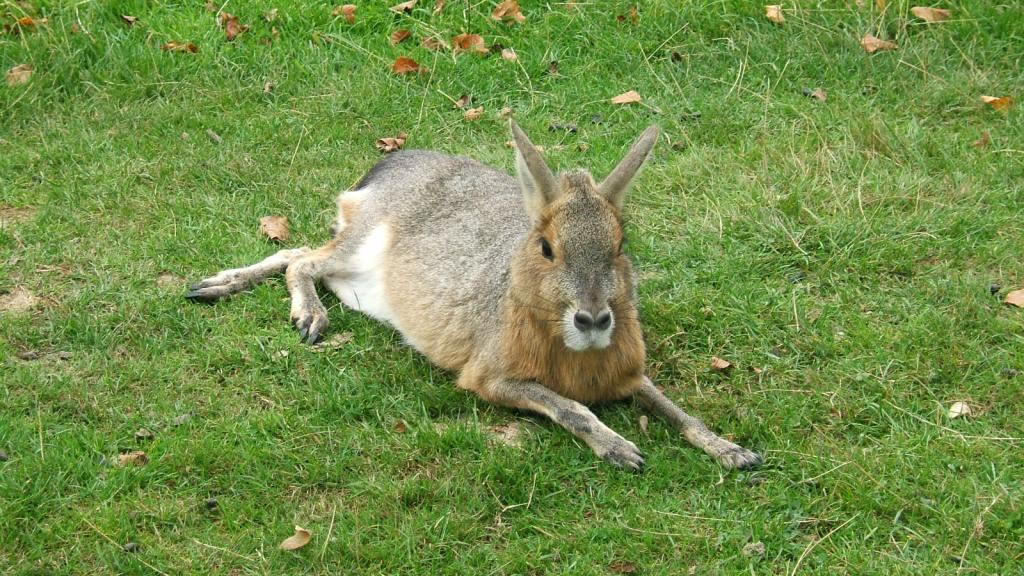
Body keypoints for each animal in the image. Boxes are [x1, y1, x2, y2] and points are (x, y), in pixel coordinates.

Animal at [186, 121, 761, 471]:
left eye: (620, 245)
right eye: (546, 247)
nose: (594, 319)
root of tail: (385, 168)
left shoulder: (629, 373)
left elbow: (678, 412)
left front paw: (732, 450)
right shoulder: (490, 377)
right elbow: (570, 407)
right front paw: (619, 448)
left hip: (355, 274)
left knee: (295, 251)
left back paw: (219, 285)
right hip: (361, 242)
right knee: (302, 259)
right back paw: (301, 315)